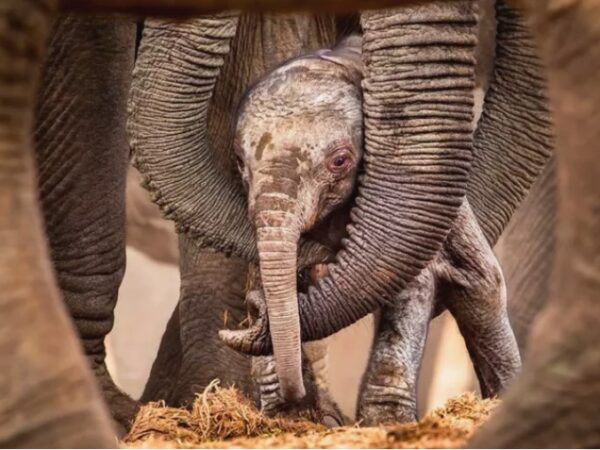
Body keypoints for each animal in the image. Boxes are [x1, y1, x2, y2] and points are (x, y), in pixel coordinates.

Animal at [230, 36, 520, 426]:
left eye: (340, 161)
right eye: (239, 162)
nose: (250, 309)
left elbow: (411, 280)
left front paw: (386, 423)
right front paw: (288, 418)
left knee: (481, 285)